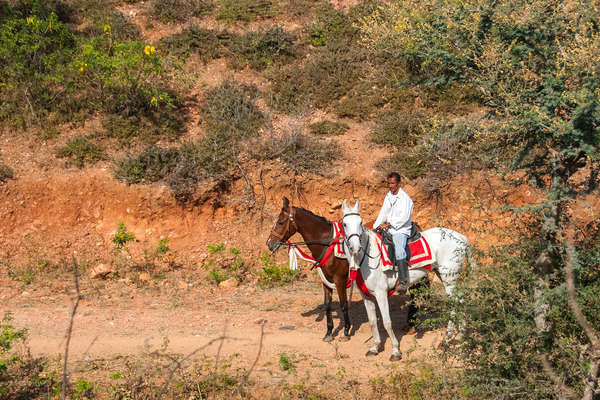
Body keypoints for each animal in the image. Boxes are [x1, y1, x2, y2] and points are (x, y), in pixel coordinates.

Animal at [264, 197, 350, 340]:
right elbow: (327, 305)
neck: (328, 242)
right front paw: (329, 332)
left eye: (281, 222)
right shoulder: (326, 280)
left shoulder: (340, 280)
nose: (269, 243)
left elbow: (344, 304)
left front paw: (347, 331)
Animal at [340, 199, 472, 360]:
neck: (368, 258)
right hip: (445, 277)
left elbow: (387, 322)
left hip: (449, 279)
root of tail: (461, 238)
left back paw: (446, 340)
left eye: (360, 222)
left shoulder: (381, 294)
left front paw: (396, 351)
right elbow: (372, 322)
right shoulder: (367, 296)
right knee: (461, 300)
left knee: (454, 304)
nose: (356, 247)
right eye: (344, 224)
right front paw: (375, 347)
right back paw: (459, 336)